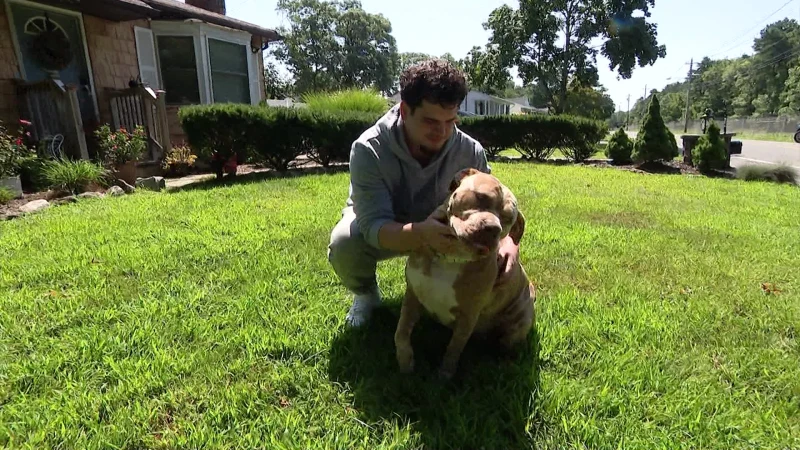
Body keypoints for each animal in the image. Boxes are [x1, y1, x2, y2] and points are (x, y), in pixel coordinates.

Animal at [396, 167, 536, 378]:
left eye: (508, 219)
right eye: (481, 197)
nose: (494, 228)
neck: (451, 257)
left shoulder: (468, 316)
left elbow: (454, 348)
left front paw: (444, 375)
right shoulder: (412, 294)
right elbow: (401, 331)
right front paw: (405, 362)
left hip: (519, 323)